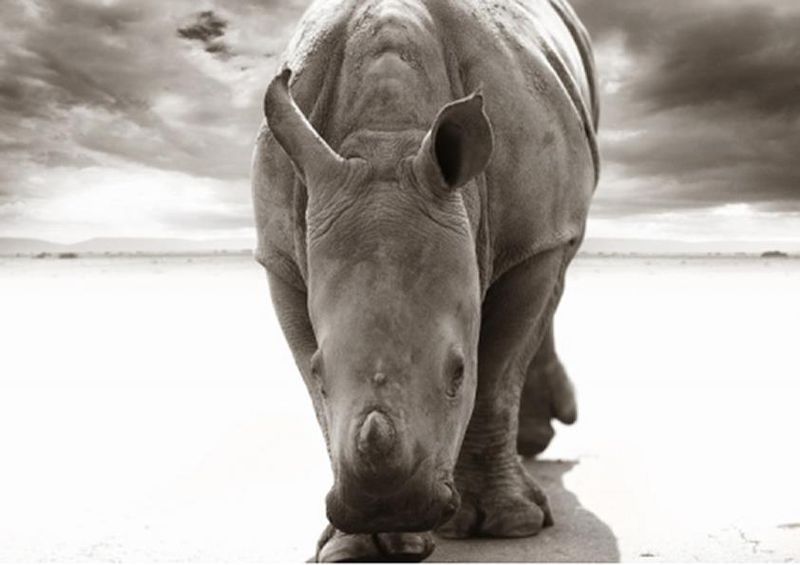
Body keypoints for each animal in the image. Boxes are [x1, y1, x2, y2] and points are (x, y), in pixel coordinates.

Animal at [252, 0, 598, 560]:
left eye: (457, 372)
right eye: (323, 373)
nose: (385, 506)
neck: (387, 138)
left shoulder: (537, 239)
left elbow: (497, 373)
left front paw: (509, 526)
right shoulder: (281, 257)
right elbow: (312, 388)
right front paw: (355, 547)